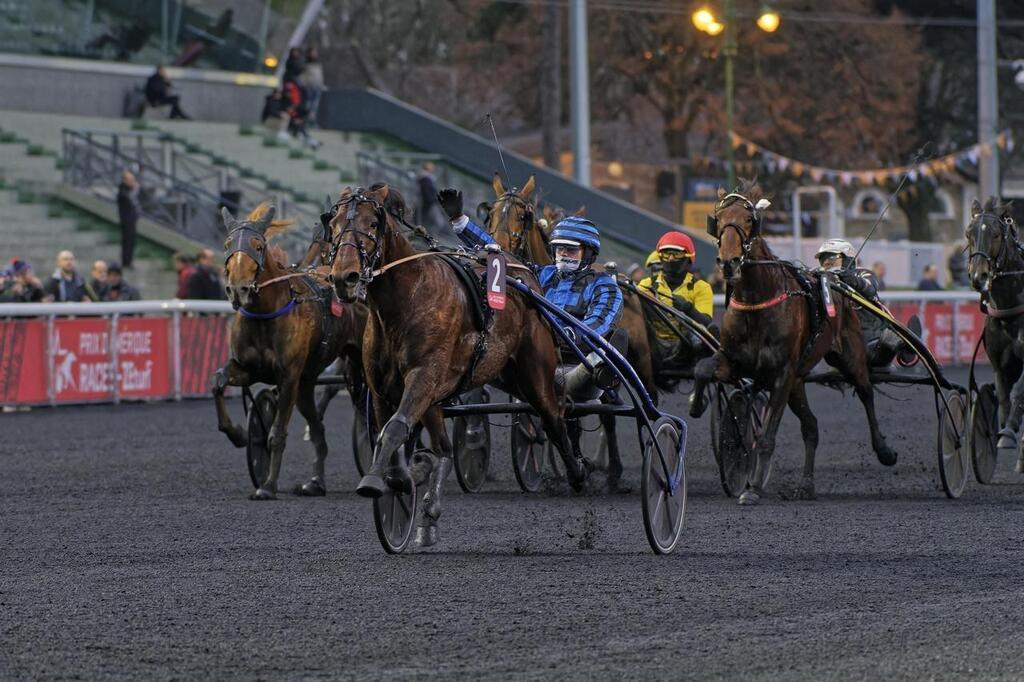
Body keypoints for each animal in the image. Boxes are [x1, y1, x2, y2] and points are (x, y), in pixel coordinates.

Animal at [211, 201, 368, 499]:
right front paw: (238, 433)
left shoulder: (288, 377)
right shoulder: (249, 369)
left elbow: (277, 433)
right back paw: (315, 482)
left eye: (258, 245)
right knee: (318, 429)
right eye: (227, 244)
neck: (264, 315)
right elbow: (218, 382)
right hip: (306, 384)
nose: (238, 289)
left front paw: (267, 486)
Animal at [331, 183, 593, 544]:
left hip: (534, 374)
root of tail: (520, 272)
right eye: (332, 224)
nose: (344, 277)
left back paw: (578, 470)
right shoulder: (385, 389)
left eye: (372, 223)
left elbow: (396, 428)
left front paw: (380, 481)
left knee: (554, 417)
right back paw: (428, 512)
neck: (405, 300)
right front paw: (401, 479)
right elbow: (390, 430)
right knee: (444, 447)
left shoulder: (424, 376)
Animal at [688, 180, 897, 503]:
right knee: (811, 426)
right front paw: (696, 404)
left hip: (848, 358)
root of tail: (837, 284)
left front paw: (753, 488)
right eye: (719, 219)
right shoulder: (735, 363)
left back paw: (885, 450)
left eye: (748, 219)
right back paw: (806, 485)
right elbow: (702, 369)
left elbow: (767, 436)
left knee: (866, 392)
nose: (729, 262)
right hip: (798, 382)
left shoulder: (781, 374)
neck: (758, 301)